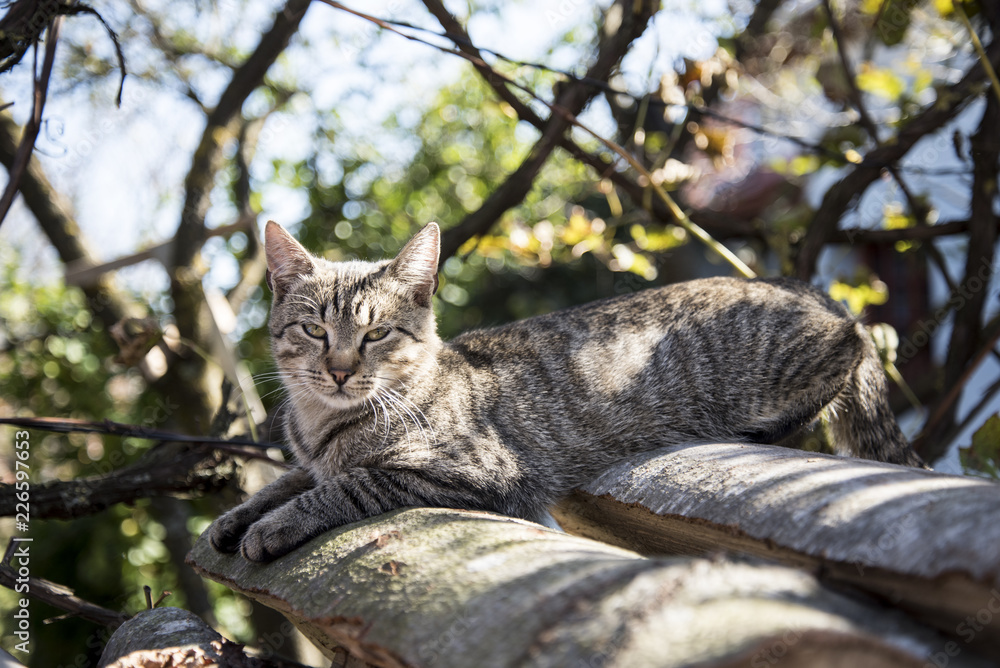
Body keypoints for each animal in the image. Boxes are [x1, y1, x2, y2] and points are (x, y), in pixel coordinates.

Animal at [209, 220, 926, 562]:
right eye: (313, 329)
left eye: (377, 332)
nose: (337, 369)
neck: (322, 423)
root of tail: (801, 285)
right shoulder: (311, 456)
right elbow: (289, 479)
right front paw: (236, 515)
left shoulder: (481, 474)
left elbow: (346, 485)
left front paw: (273, 526)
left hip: (786, 361)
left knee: (857, 341)